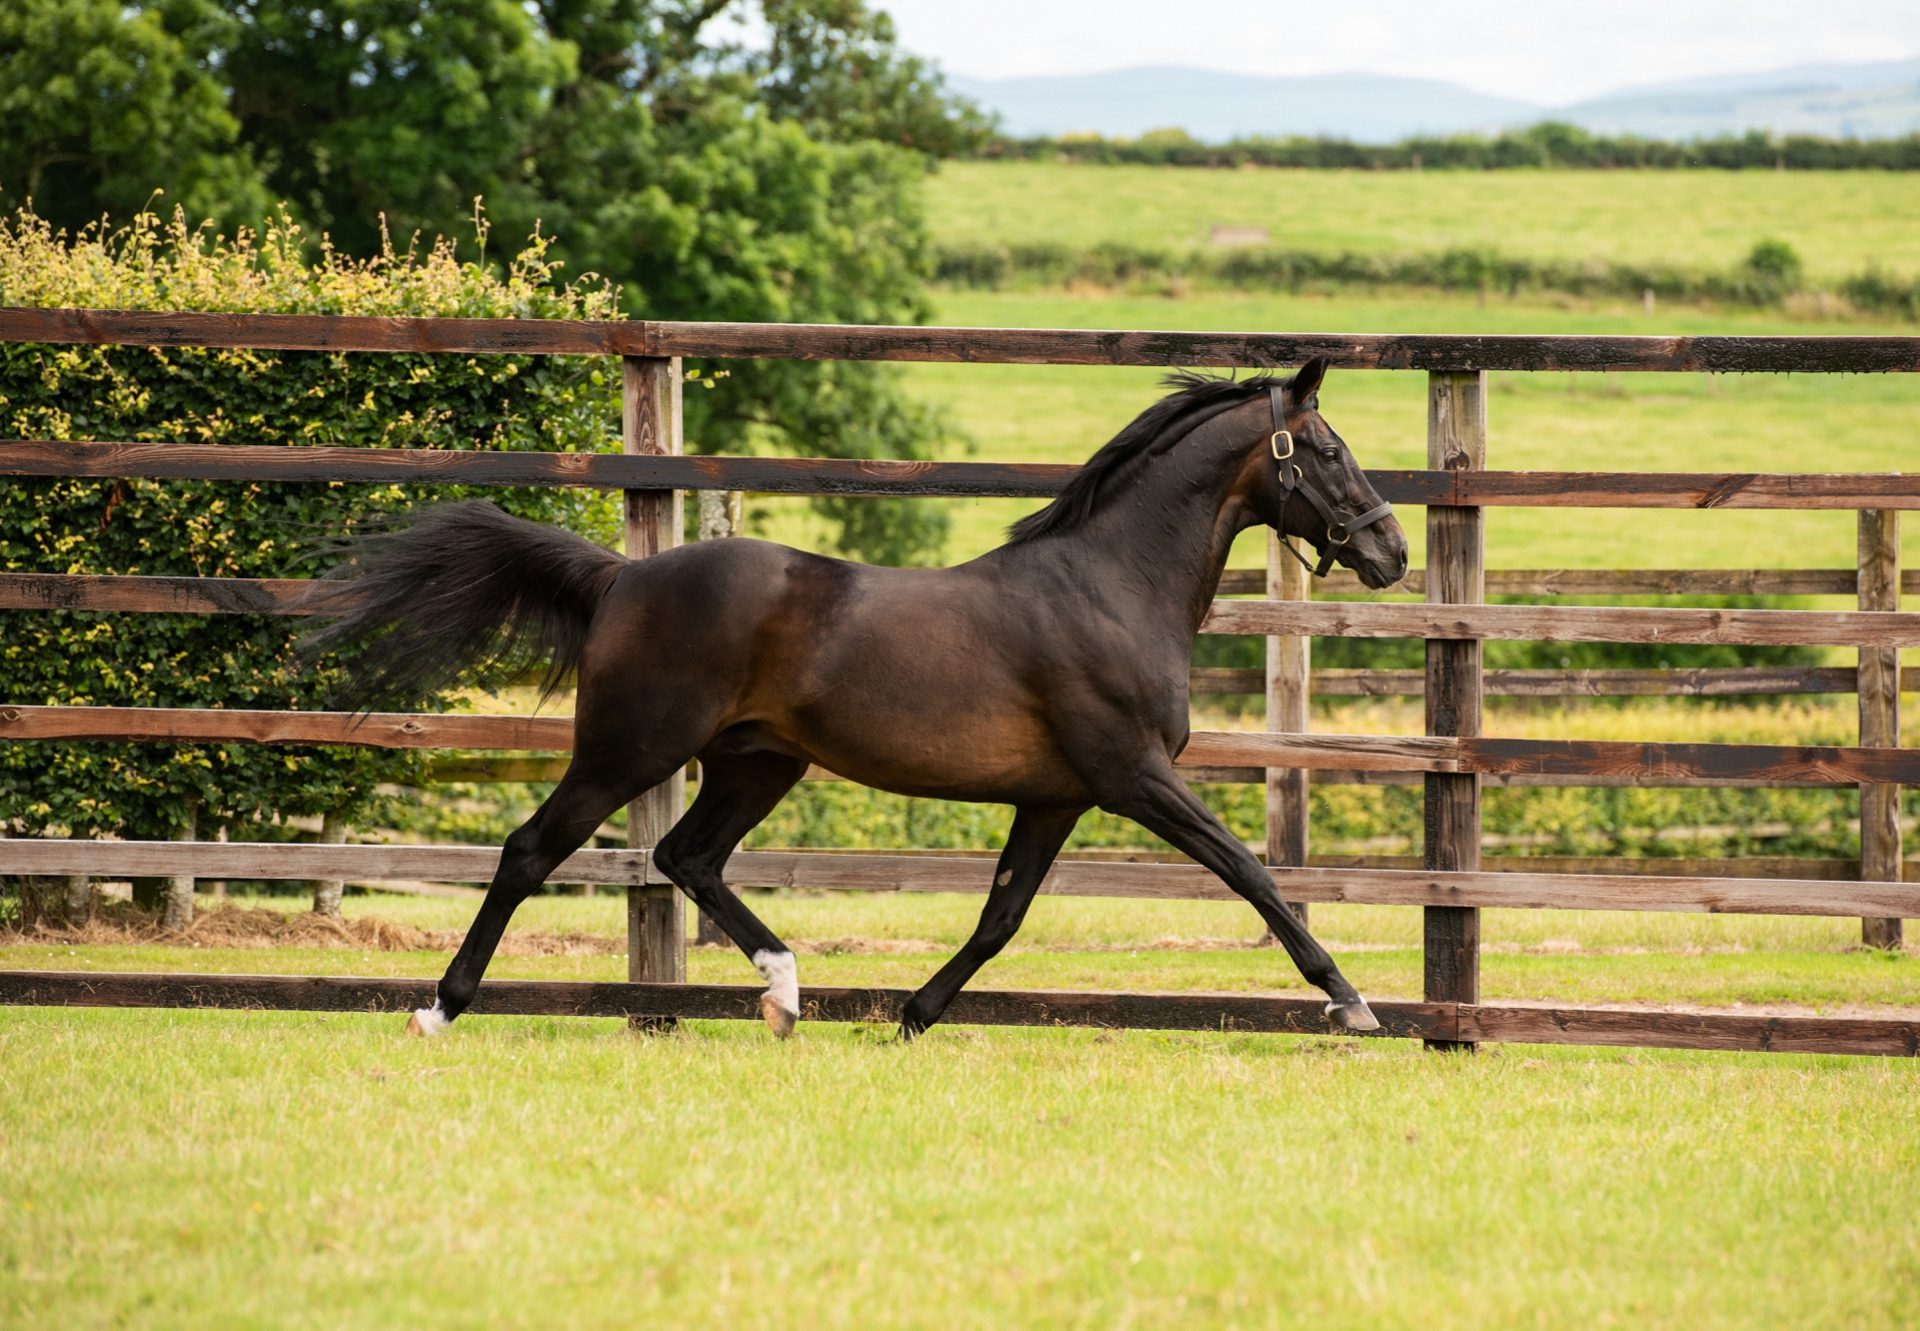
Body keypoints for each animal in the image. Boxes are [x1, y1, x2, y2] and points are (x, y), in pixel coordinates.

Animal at [303, 361, 1413, 1037]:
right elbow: (1251, 871)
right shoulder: (1132, 775)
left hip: (757, 760)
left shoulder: (1054, 795)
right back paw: (440, 1007)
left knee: (686, 857)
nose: (1391, 551)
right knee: (533, 849)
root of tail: (622, 576)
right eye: (1327, 450)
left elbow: (1001, 915)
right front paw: (1352, 1002)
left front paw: (913, 1016)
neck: (1107, 587)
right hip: (630, 750)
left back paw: (787, 992)